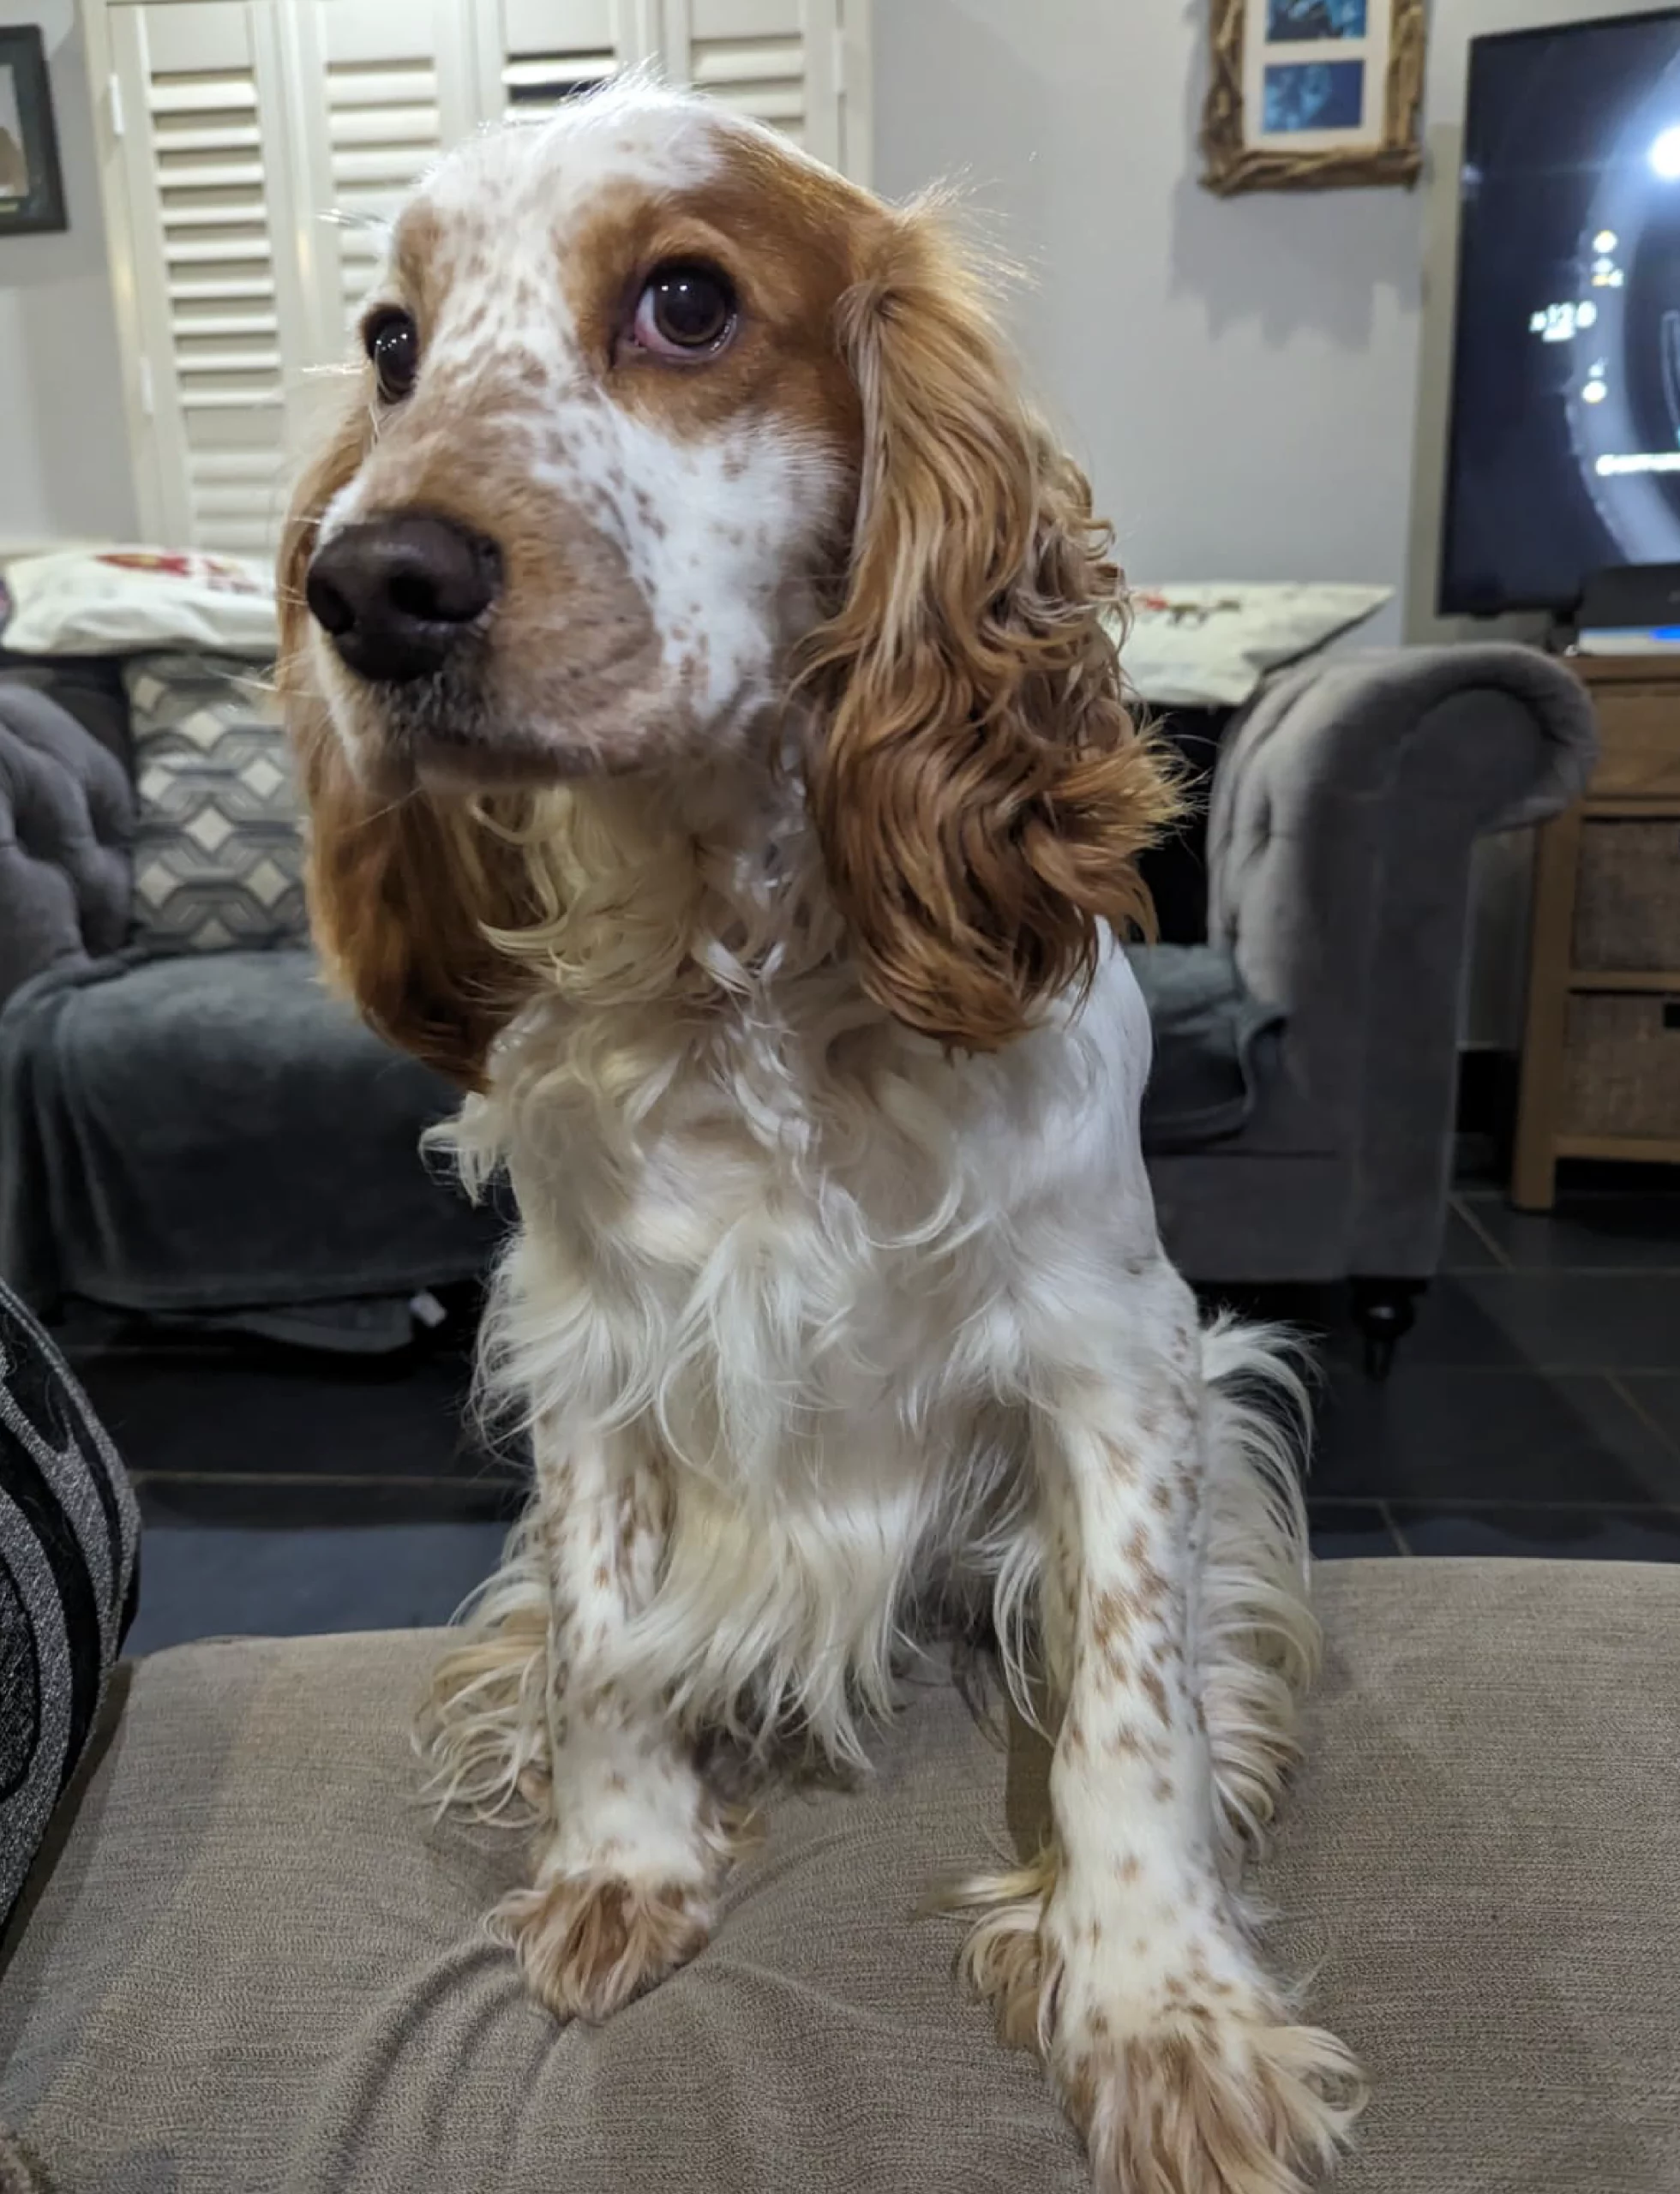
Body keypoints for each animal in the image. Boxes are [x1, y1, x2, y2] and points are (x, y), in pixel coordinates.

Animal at [278, 78, 1364, 2193]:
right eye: (390, 343)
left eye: (688, 302)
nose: (364, 587)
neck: (753, 977)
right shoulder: (590, 1348)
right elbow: (601, 1626)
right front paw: (619, 1857)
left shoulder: (1120, 1362)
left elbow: (1130, 1701)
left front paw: (1159, 2002)